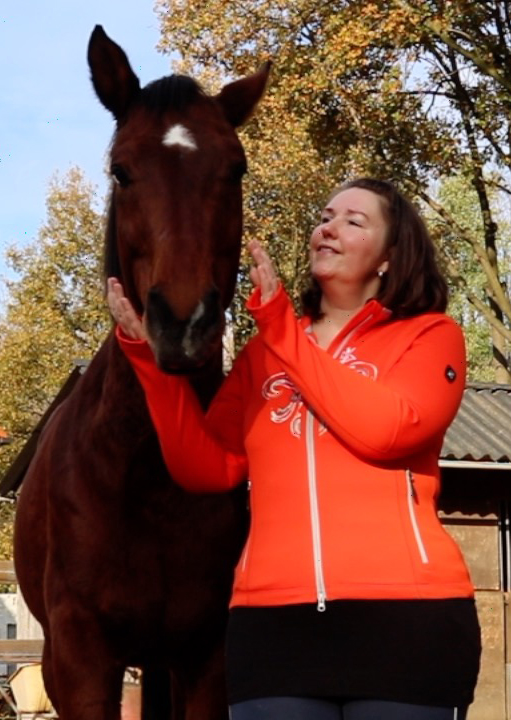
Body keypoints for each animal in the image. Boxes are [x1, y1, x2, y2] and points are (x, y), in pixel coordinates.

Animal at [12, 25, 270, 720]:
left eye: (235, 168)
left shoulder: (207, 656)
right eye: (121, 170)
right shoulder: (78, 660)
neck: (148, 475)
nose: (184, 323)